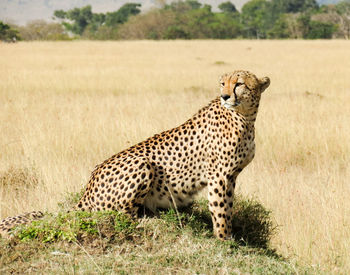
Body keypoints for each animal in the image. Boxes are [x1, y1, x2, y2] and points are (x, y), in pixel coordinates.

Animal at [0, 71, 270, 242]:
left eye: (239, 84)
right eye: (222, 83)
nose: (225, 96)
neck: (246, 117)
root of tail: (86, 191)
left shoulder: (231, 176)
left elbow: (228, 206)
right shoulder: (219, 176)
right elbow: (221, 209)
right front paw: (225, 239)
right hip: (142, 164)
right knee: (119, 216)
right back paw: (148, 219)